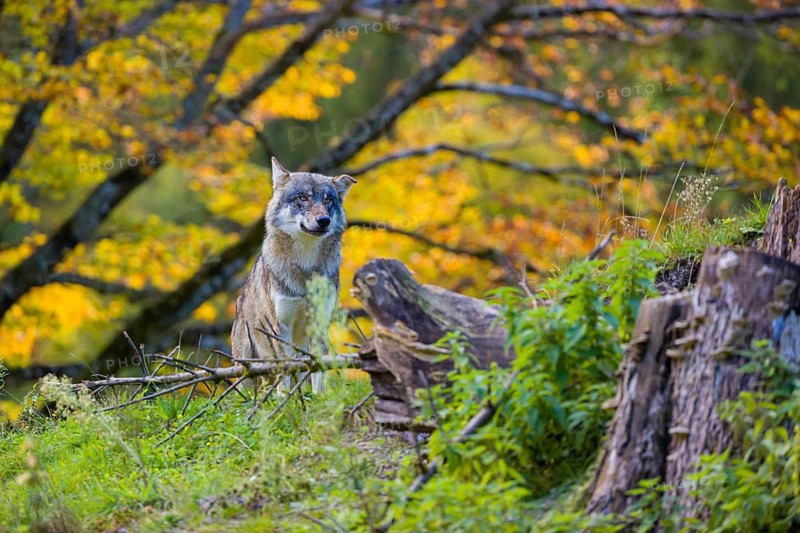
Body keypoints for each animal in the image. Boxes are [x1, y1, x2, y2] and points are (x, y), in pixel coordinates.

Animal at [231, 157, 356, 392]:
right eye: (303, 198)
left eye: (328, 201)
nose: (324, 220)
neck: (306, 267)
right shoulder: (281, 327)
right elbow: (285, 371)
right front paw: (284, 399)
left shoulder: (319, 324)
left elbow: (318, 370)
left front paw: (319, 397)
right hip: (245, 364)